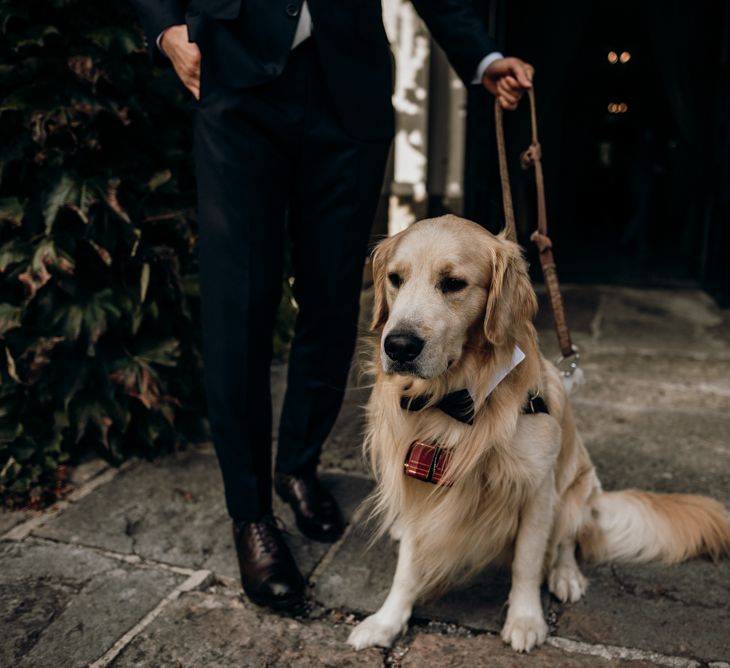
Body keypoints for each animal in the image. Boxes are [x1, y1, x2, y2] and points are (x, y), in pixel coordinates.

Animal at [346, 218, 728, 652]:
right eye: (395, 279)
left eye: (453, 283)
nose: (398, 346)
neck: (457, 400)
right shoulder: (417, 487)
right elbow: (407, 568)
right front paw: (386, 620)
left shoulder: (537, 490)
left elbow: (527, 562)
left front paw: (526, 619)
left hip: (576, 490)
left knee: (566, 542)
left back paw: (566, 576)